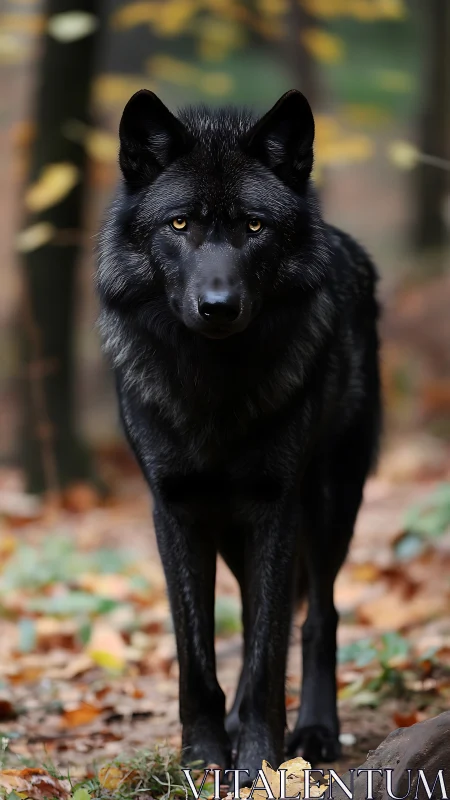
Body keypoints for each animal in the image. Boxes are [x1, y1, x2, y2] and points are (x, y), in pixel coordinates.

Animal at [96, 88, 381, 780]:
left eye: (254, 227)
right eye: (179, 225)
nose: (219, 306)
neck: (212, 386)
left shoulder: (276, 508)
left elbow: (267, 653)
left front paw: (258, 763)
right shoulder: (173, 511)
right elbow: (196, 656)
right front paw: (203, 757)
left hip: (329, 505)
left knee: (317, 619)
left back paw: (315, 731)